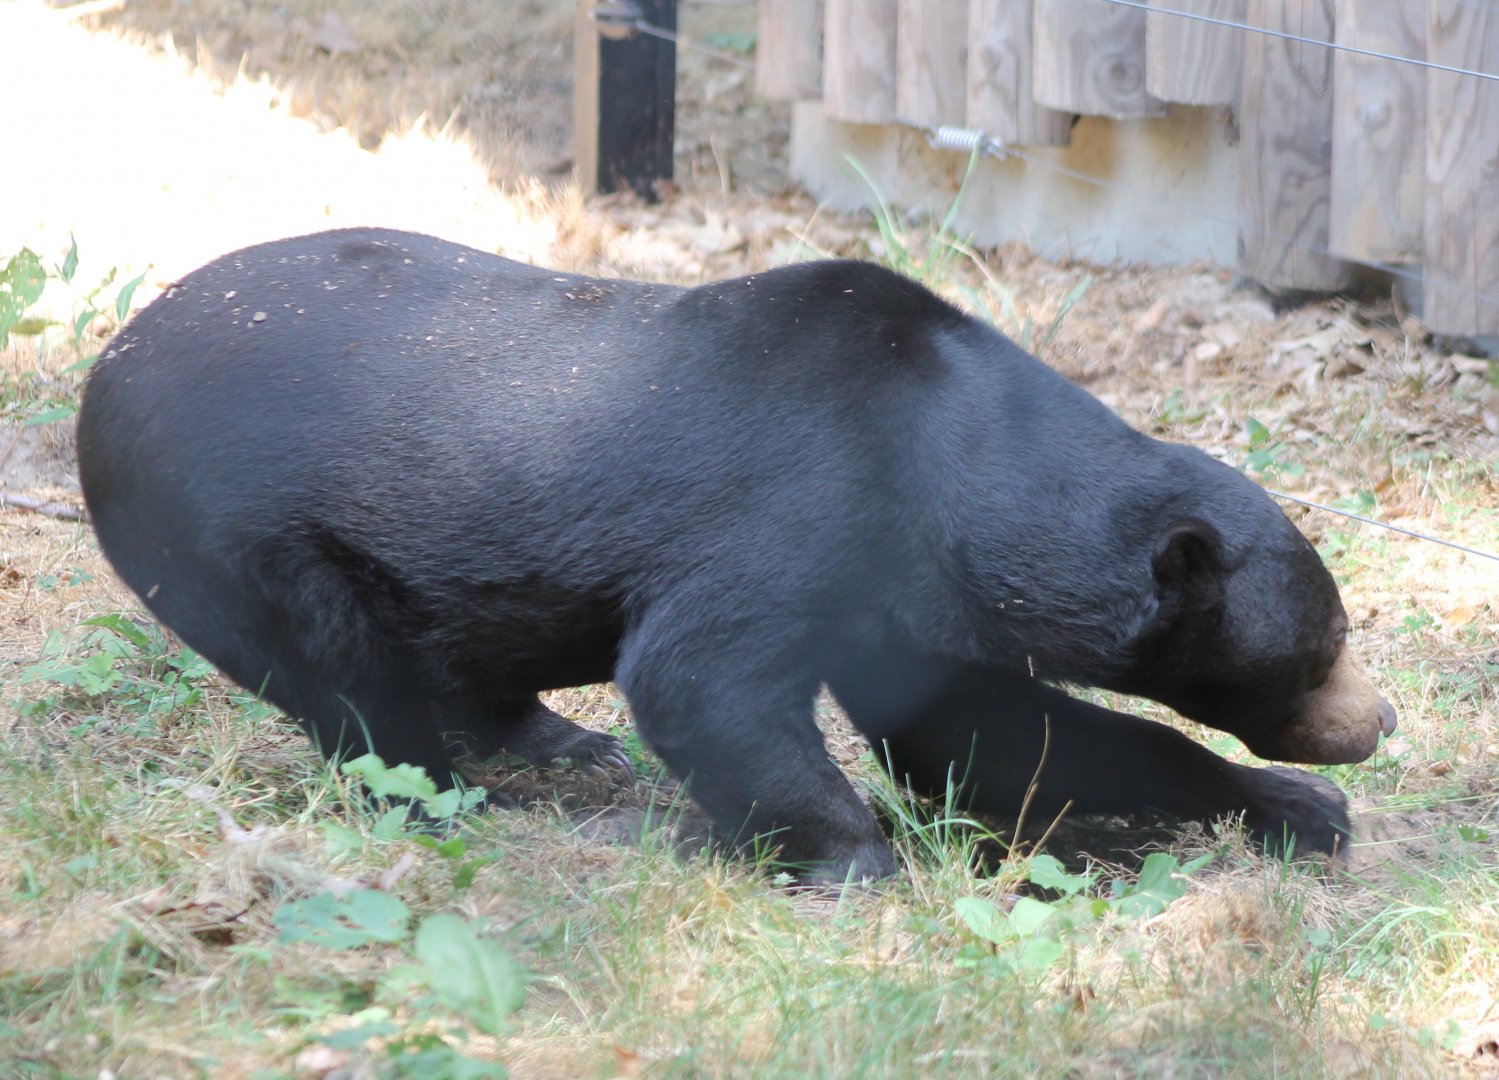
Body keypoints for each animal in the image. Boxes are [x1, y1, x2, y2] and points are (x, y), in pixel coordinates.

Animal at [76, 227, 1397, 883]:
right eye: (1320, 648)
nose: (1375, 722)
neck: (937, 458)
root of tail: (108, 362)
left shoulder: (908, 599)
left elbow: (997, 734)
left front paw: (1298, 810)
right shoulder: (798, 513)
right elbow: (701, 678)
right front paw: (859, 857)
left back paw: (556, 742)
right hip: (231, 533)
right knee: (346, 676)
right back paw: (443, 793)